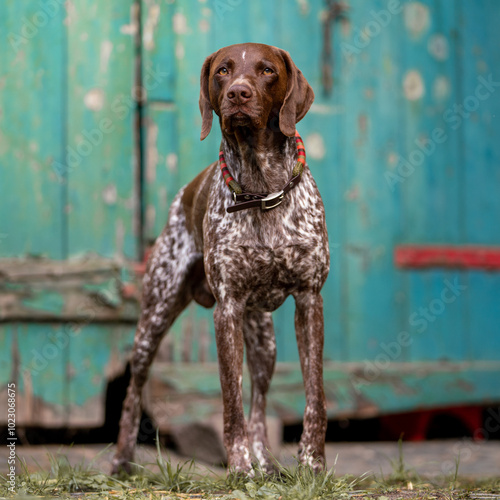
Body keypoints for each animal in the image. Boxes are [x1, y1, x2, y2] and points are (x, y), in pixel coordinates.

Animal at [114, 42, 332, 472]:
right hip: (154, 320)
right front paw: (240, 468)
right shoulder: (227, 310)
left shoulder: (309, 301)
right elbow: (231, 400)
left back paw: (266, 462)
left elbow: (313, 394)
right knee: (134, 390)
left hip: (264, 342)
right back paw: (122, 460)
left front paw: (312, 464)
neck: (263, 190)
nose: (238, 94)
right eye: (223, 71)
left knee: (260, 402)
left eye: (266, 70)